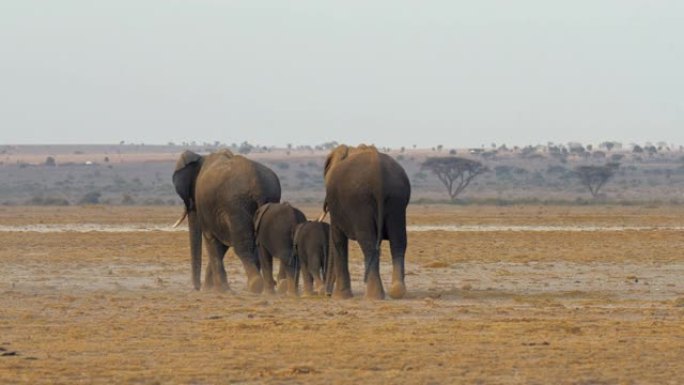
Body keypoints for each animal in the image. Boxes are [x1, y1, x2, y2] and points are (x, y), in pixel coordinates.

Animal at [174, 149, 280, 292]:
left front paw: (220, 290)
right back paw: (269, 291)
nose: (197, 288)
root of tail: (258, 185)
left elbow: (212, 240)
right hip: (269, 199)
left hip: (236, 204)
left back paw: (255, 285)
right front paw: (211, 289)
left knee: (242, 247)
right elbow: (221, 245)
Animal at [322, 144, 412, 300]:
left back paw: (373, 296)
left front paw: (340, 297)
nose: (326, 294)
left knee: (368, 243)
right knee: (398, 241)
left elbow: (338, 240)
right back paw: (396, 292)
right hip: (397, 198)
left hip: (360, 201)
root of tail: (378, 176)